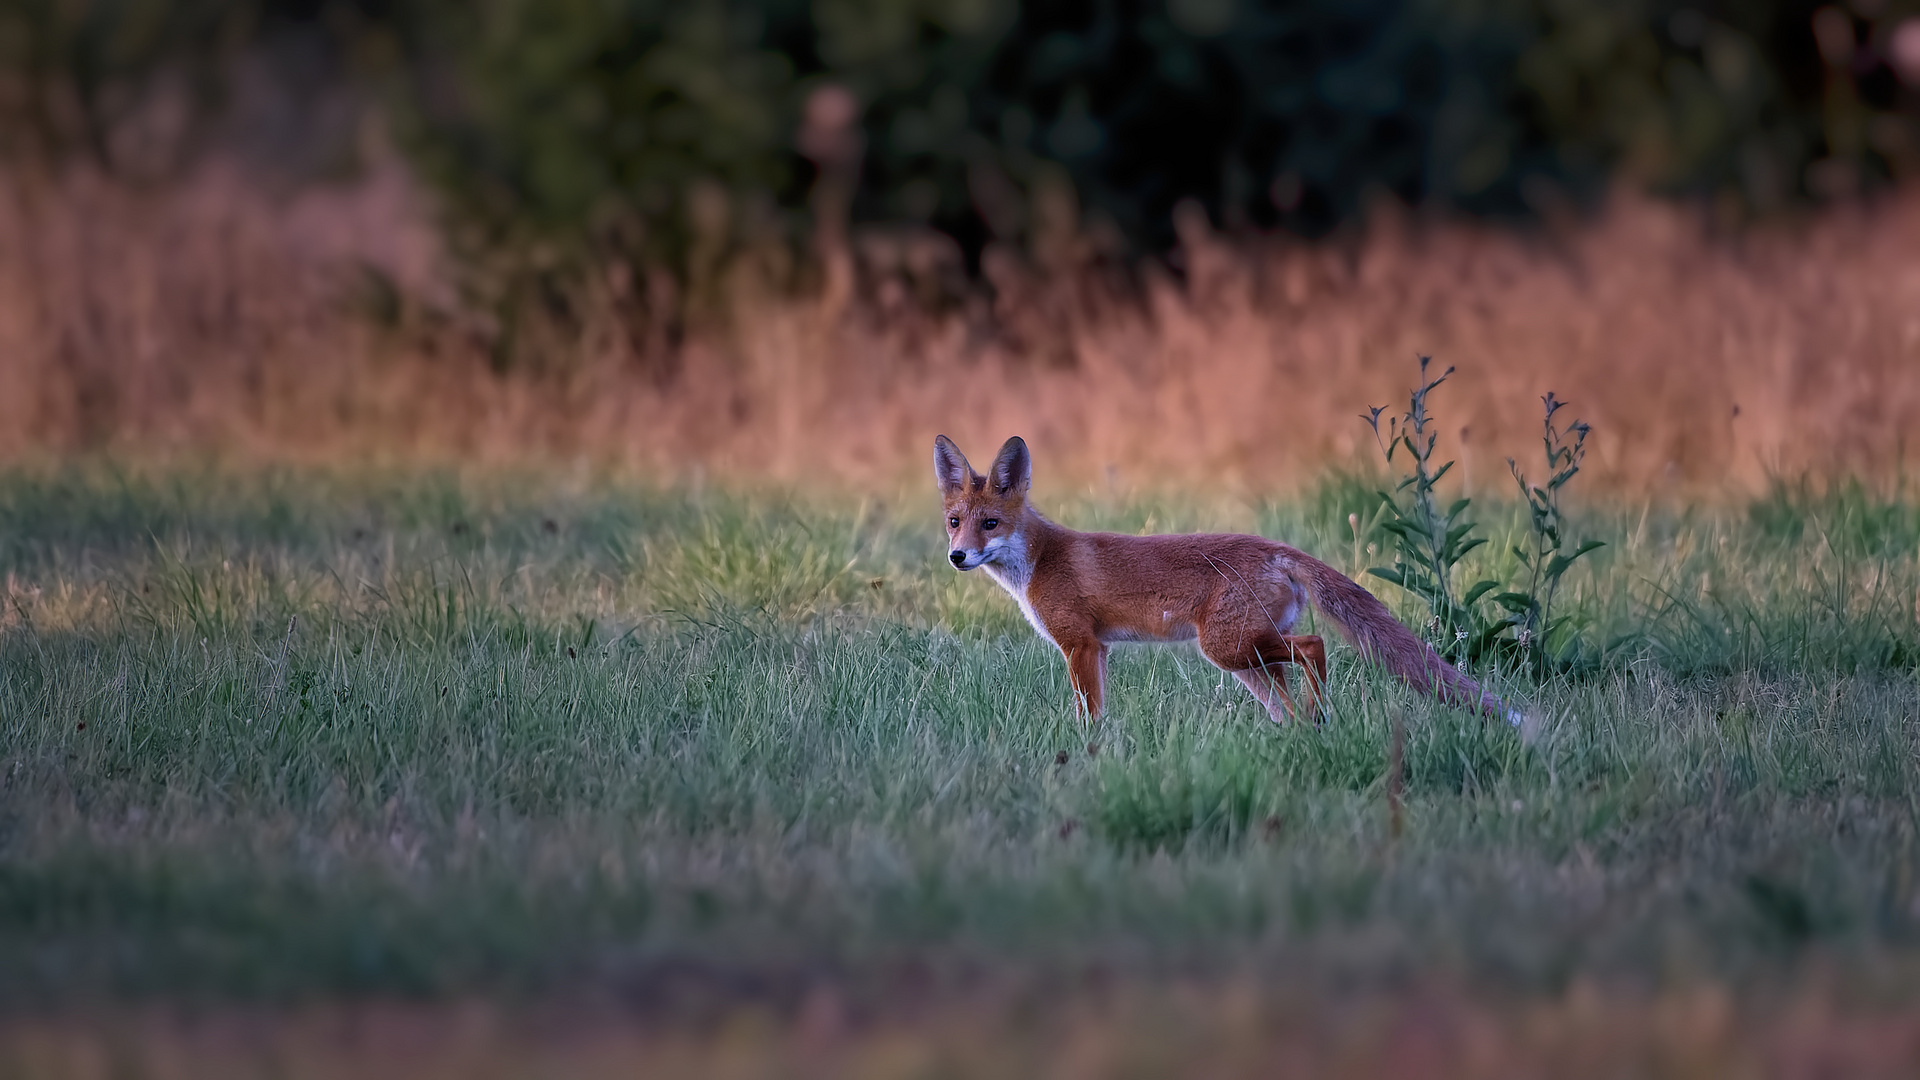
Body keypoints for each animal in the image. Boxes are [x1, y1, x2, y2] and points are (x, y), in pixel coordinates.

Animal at [936, 434, 1520, 722]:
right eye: (955, 522)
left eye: (991, 524)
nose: (958, 557)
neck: (1039, 560)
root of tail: (1276, 548)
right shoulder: (1099, 648)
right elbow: (1099, 715)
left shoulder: (1079, 645)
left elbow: (1088, 719)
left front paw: (1086, 760)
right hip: (1247, 660)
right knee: (1288, 705)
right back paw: (1309, 732)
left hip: (1229, 647)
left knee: (1315, 647)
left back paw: (1323, 714)